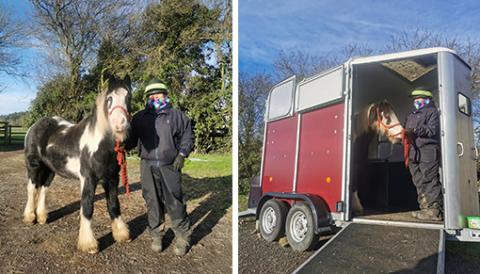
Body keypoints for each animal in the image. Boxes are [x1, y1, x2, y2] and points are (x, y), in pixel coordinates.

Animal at [22, 74, 131, 253]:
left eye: (128, 97)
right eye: (109, 99)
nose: (120, 124)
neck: (99, 144)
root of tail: (35, 125)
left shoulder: (112, 179)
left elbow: (114, 205)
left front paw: (122, 235)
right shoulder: (88, 179)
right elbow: (87, 207)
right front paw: (89, 244)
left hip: (50, 169)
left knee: (44, 188)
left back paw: (42, 217)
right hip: (34, 165)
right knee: (32, 188)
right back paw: (30, 217)